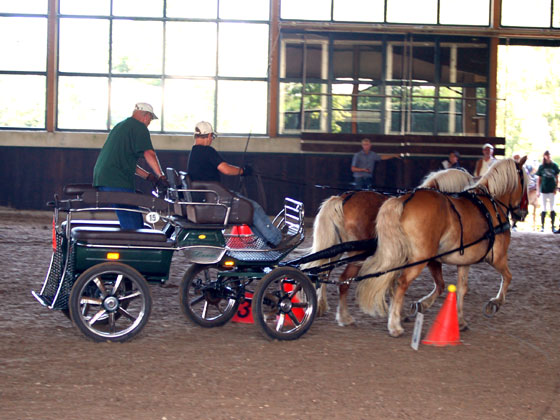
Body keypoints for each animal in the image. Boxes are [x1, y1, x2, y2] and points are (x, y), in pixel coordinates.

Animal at [304, 168, 474, 327]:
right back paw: (344, 317)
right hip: (357, 253)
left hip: (337, 248)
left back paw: (321, 306)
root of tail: (344, 198)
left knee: (323, 271)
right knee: (341, 279)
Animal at [355, 158, 528, 337]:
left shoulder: (462, 261)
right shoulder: (497, 257)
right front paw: (495, 303)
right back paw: (395, 325)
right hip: (421, 258)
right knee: (401, 283)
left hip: (404, 256)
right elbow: (508, 277)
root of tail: (403, 200)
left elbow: (458, 288)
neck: (491, 205)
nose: (523, 213)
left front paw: (458, 320)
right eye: (525, 182)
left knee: (391, 281)